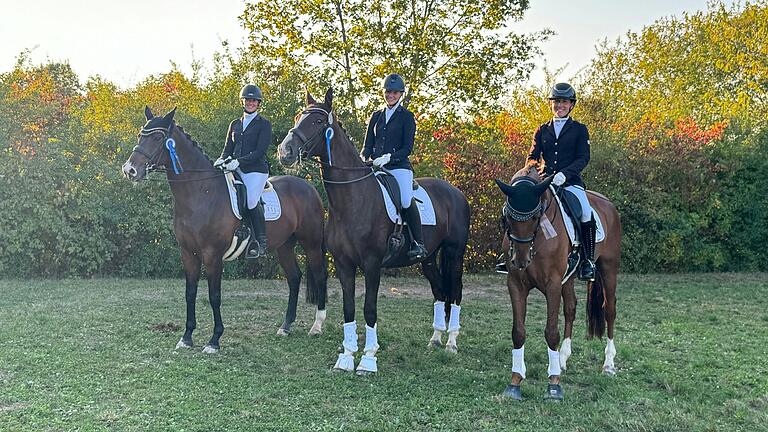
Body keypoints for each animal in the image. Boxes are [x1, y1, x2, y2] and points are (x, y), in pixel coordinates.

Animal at [120, 106, 328, 352]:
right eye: (140, 135)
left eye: (157, 138)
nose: (130, 170)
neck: (200, 193)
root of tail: (308, 186)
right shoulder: (188, 253)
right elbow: (190, 293)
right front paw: (186, 337)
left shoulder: (213, 255)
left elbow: (214, 295)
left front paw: (214, 340)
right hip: (284, 245)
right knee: (294, 278)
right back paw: (285, 327)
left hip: (311, 243)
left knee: (320, 275)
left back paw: (317, 326)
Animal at [276, 90, 468, 374]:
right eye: (299, 117)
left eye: (318, 122)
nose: (285, 151)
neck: (353, 199)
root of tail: (455, 192)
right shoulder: (343, 264)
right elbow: (348, 308)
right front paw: (346, 357)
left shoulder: (372, 263)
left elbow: (369, 308)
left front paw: (368, 358)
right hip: (428, 258)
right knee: (439, 291)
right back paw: (435, 339)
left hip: (454, 254)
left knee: (454, 293)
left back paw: (452, 342)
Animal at [496, 166, 620, 402]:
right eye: (507, 216)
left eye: (536, 216)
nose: (521, 261)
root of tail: (608, 203)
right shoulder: (516, 284)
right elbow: (518, 331)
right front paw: (516, 381)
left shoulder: (552, 284)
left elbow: (551, 332)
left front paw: (553, 385)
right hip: (568, 278)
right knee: (571, 308)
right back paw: (562, 359)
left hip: (609, 269)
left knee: (609, 310)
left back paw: (608, 364)